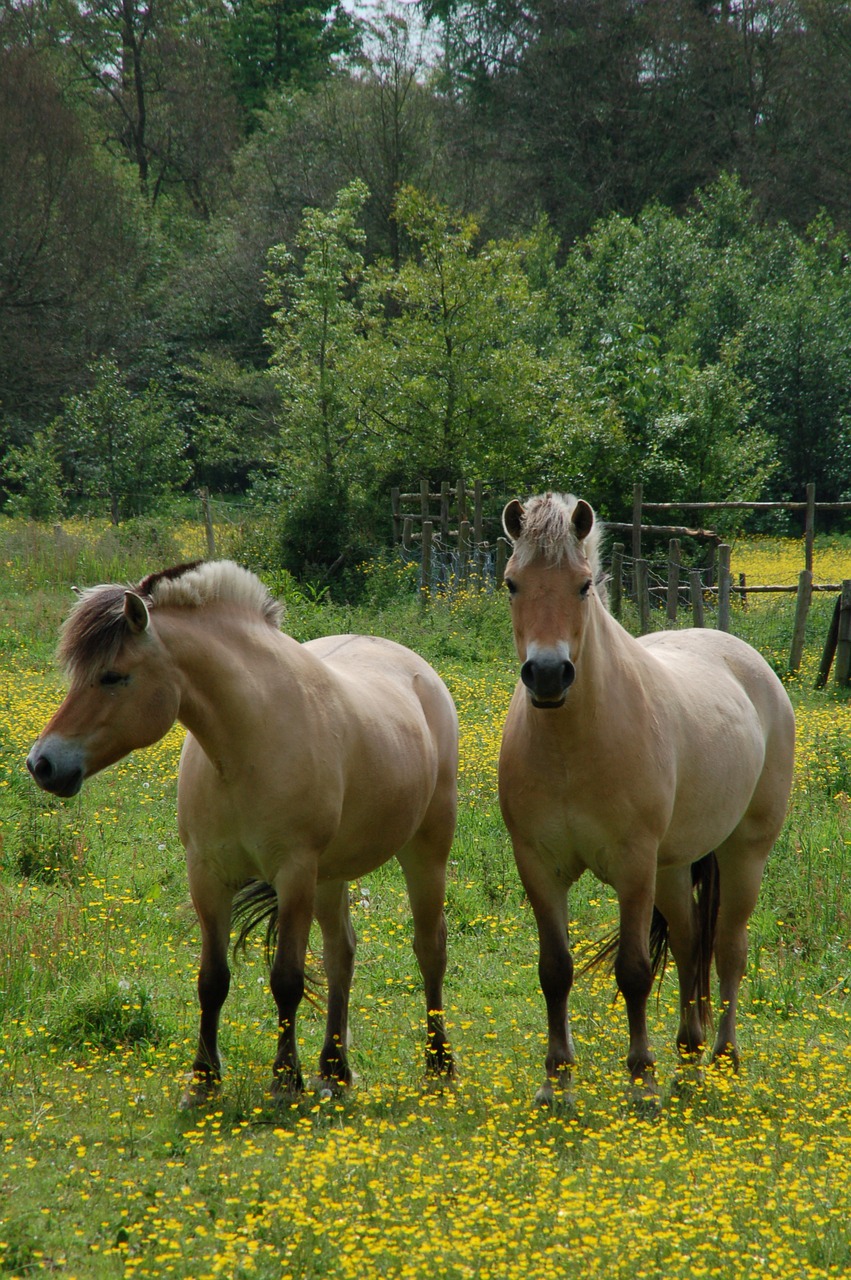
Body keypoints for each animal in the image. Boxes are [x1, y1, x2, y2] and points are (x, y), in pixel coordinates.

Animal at [28, 565, 458, 1105]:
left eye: (113, 677)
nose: (42, 763)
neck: (247, 740)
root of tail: (417, 669)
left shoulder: (293, 872)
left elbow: (287, 980)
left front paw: (285, 1080)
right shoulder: (208, 875)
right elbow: (212, 981)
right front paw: (203, 1081)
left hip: (425, 849)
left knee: (430, 949)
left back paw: (438, 1063)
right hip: (331, 875)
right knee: (341, 954)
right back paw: (334, 1069)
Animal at [499, 494, 798, 1105]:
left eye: (583, 586)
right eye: (513, 583)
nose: (548, 674)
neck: (571, 746)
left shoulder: (633, 865)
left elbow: (634, 971)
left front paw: (641, 1079)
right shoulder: (538, 866)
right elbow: (554, 970)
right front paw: (556, 1079)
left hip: (742, 853)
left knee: (728, 948)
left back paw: (724, 1055)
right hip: (673, 866)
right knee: (688, 944)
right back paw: (688, 1052)